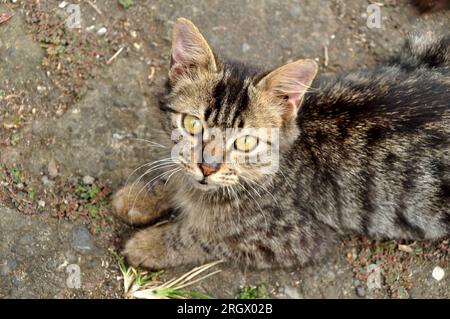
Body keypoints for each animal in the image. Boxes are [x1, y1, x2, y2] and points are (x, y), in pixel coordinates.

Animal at [112, 18, 450, 270]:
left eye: (246, 143)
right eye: (193, 124)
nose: (207, 167)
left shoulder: (294, 239)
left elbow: (206, 238)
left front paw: (150, 244)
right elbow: (174, 169)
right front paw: (142, 196)